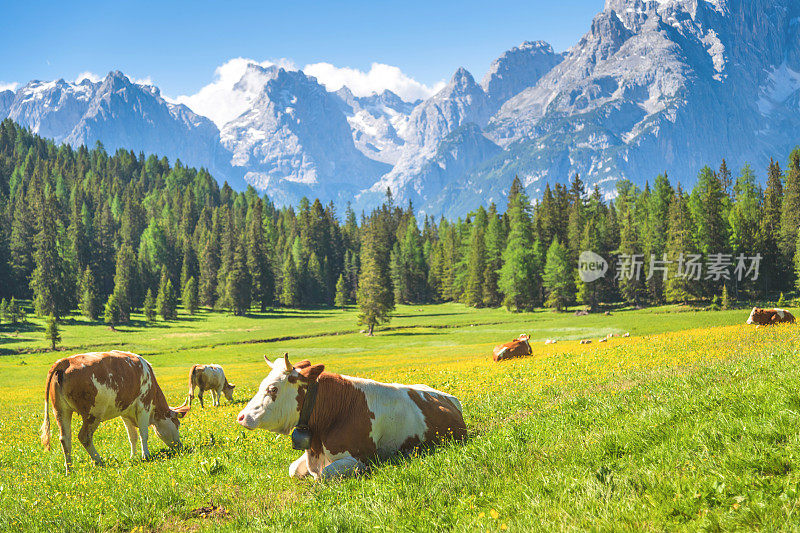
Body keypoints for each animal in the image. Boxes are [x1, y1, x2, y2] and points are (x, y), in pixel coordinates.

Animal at [40, 352, 191, 472]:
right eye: (177, 424)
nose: (180, 446)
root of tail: (66, 361)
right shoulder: (144, 405)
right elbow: (144, 434)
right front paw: (146, 455)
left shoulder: (125, 412)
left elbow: (132, 436)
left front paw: (133, 456)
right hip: (92, 414)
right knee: (84, 436)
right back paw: (99, 461)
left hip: (61, 411)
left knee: (65, 439)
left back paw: (69, 469)